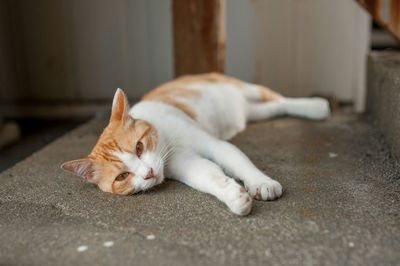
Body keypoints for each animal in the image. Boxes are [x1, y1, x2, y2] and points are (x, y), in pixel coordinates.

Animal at [60, 72, 328, 216]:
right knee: (276, 107)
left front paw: (262, 183)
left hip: (246, 88)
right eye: (122, 177)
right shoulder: (187, 165)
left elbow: (241, 164)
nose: (148, 173)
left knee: (282, 99)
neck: (168, 143)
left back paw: (316, 106)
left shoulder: (216, 146)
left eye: (138, 147)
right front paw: (234, 197)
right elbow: (209, 176)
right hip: (255, 112)